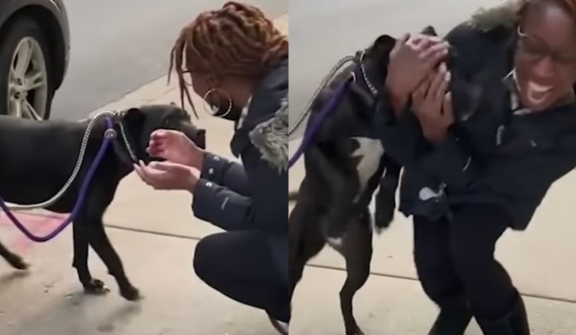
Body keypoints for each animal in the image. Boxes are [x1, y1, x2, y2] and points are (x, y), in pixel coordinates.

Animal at [0, 103, 205, 300]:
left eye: (188, 116)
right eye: (168, 121)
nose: (201, 132)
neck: (112, 144)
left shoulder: (80, 217)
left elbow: (81, 253)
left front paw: (89, 284)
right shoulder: (90, 220)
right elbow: (112, 257)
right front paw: (128, 291)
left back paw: (16, 261)